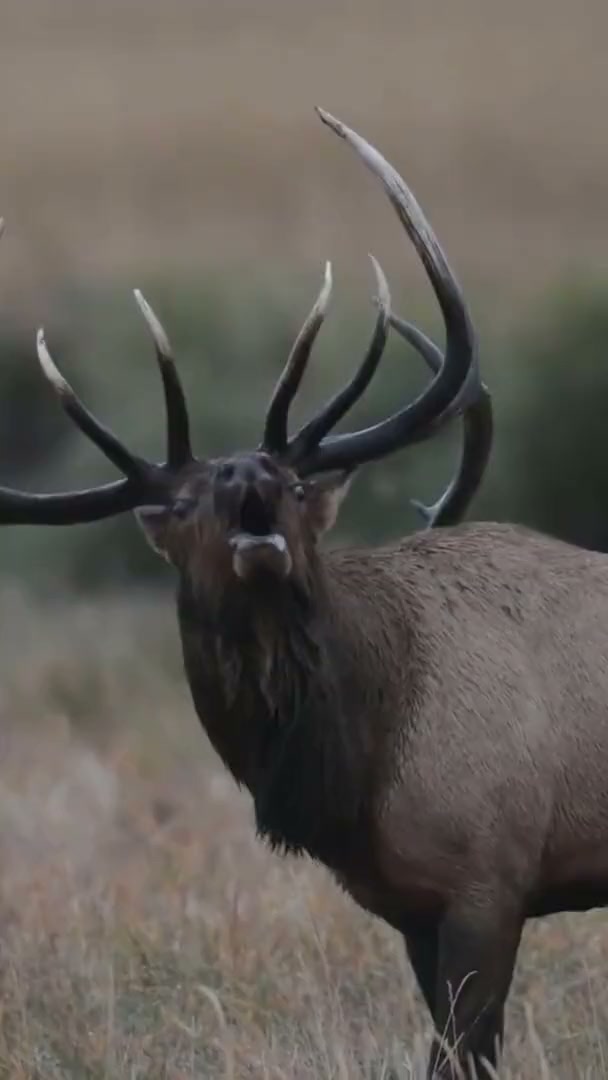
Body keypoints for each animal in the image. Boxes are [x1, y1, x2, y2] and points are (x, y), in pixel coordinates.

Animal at [0, 107, 605, 1079]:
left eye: (288, 479)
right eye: (183, 502)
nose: (246, 470)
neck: (362, 758)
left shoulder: (490, 875)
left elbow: (462, 1054)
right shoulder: (412, 905)